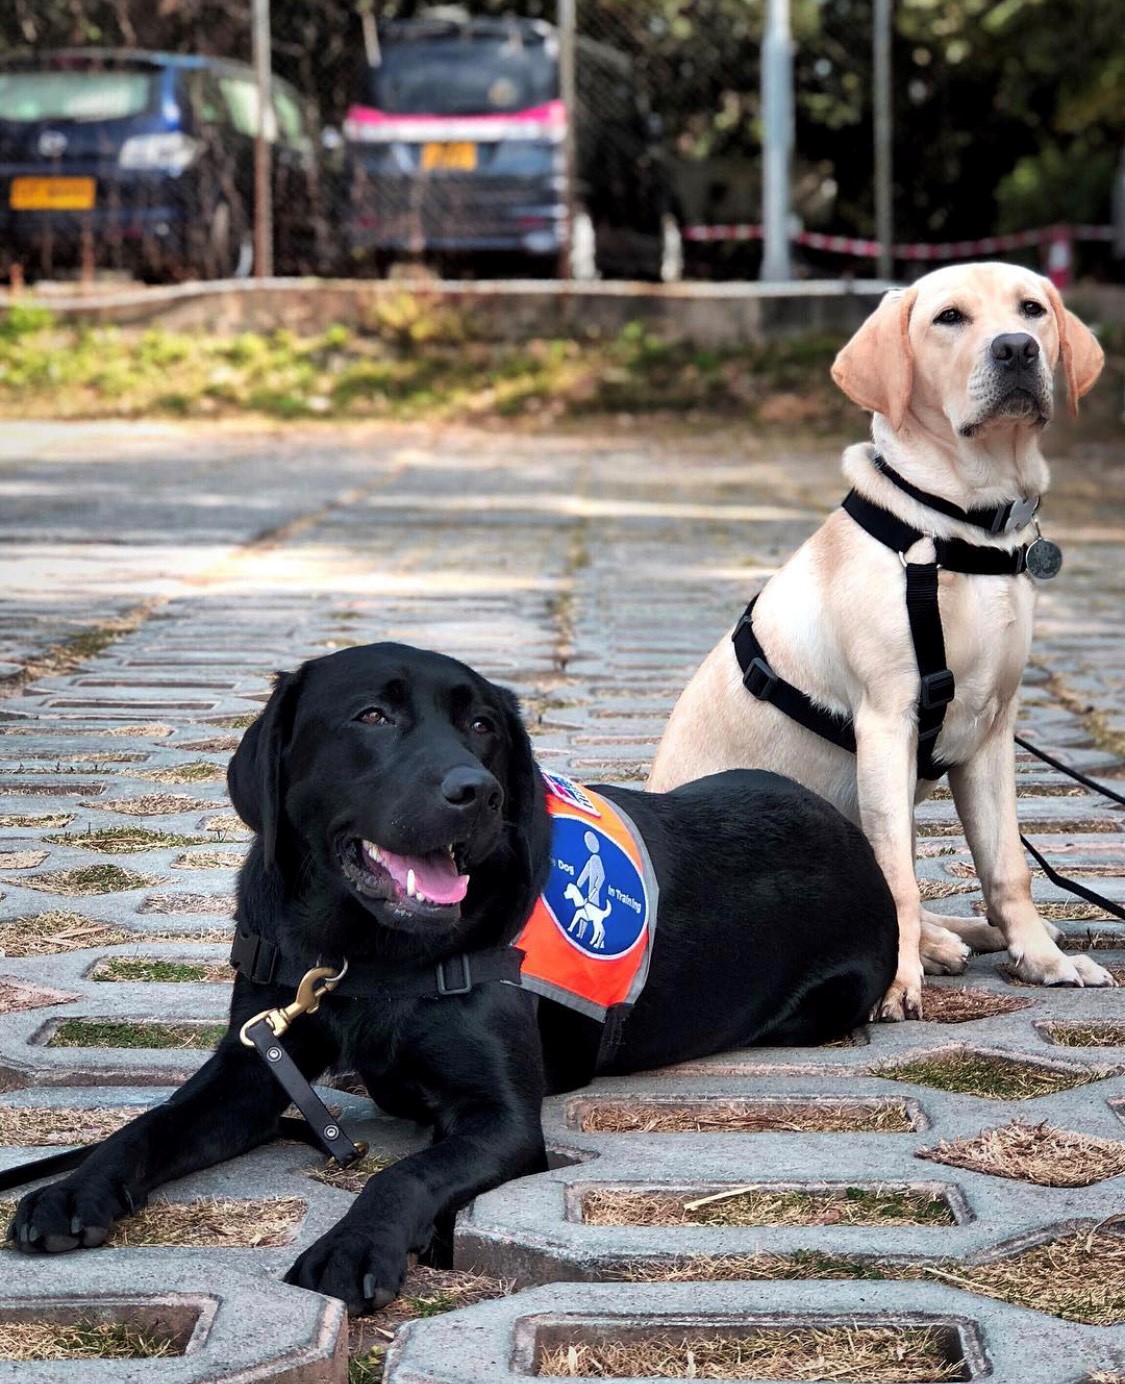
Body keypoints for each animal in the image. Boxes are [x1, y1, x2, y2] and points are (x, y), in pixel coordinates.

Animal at [6, 636, 896, 1306]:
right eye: (371, 715)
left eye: (480, 724)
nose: (479, 790)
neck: (357, 953)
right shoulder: (256, 1060)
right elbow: (148, 1124)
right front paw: (71, 1189)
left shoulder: (497, 1117)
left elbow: (405, 1174)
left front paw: (359, 1247)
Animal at [644, 261, 1112, 1018]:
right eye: (949, 318)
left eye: (1032, 310)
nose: (1015, 349)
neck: (961, 527)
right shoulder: (887, 720)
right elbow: (897, 876)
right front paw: (897, 980)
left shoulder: (991, 731)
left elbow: (1006, 866)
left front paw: (1042, 958)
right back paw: (932, 946)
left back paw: (959, 936)